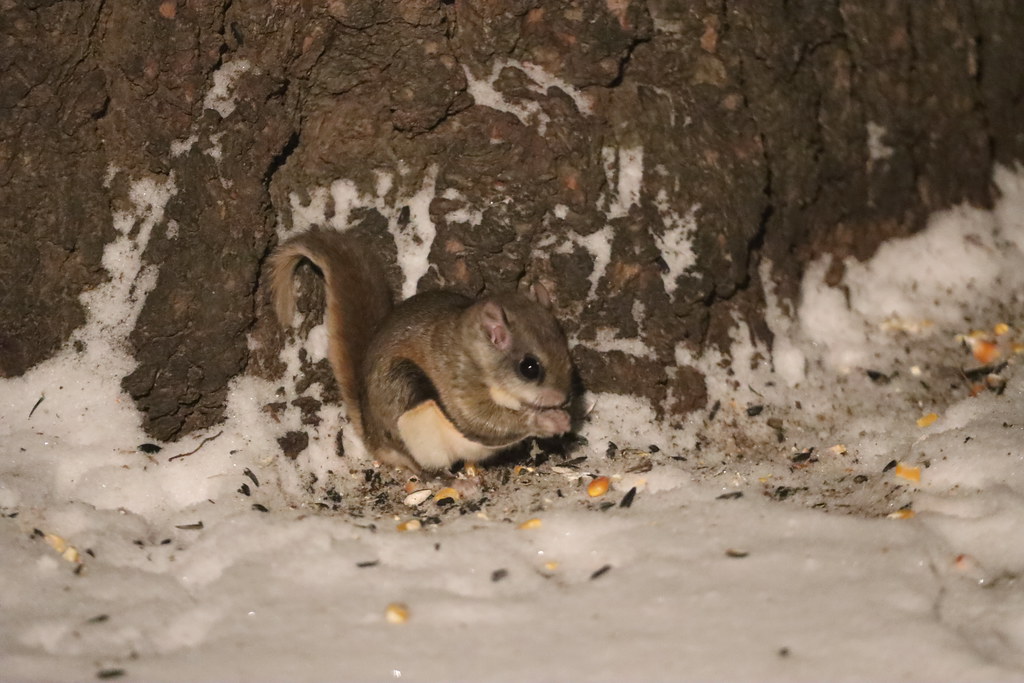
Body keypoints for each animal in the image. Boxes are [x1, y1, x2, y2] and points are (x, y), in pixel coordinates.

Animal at [268, 227, 574, 474]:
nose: (563, 399)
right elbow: (481, 420)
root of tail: (371, 437)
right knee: (418, 465)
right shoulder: (460, 379)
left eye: (565, 348)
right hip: (406, 403)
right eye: (529, 367)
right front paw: (550, 420)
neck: (477, 352)